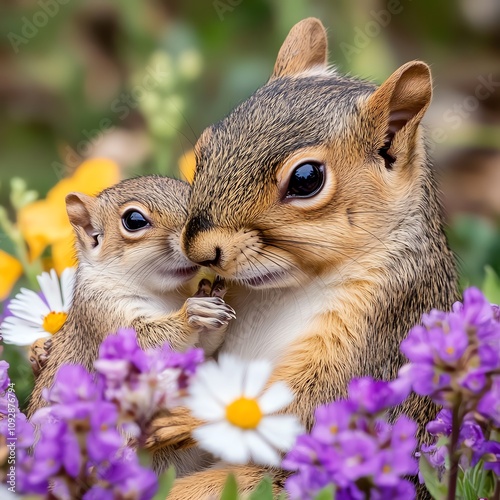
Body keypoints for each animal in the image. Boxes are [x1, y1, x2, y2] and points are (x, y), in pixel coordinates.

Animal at [28, 174, 235, 416]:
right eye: (134, 220)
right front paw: (192, 313)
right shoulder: (102, 313)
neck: (163, 293)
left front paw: (210, 293)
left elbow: (203, 346)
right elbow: (144, 342)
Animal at [151, 17, 458, 498]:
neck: (285, 290)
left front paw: (184, 414)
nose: (199, 248)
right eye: (202, 149)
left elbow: (306, 406)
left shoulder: (382, 331)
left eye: (306, 179)